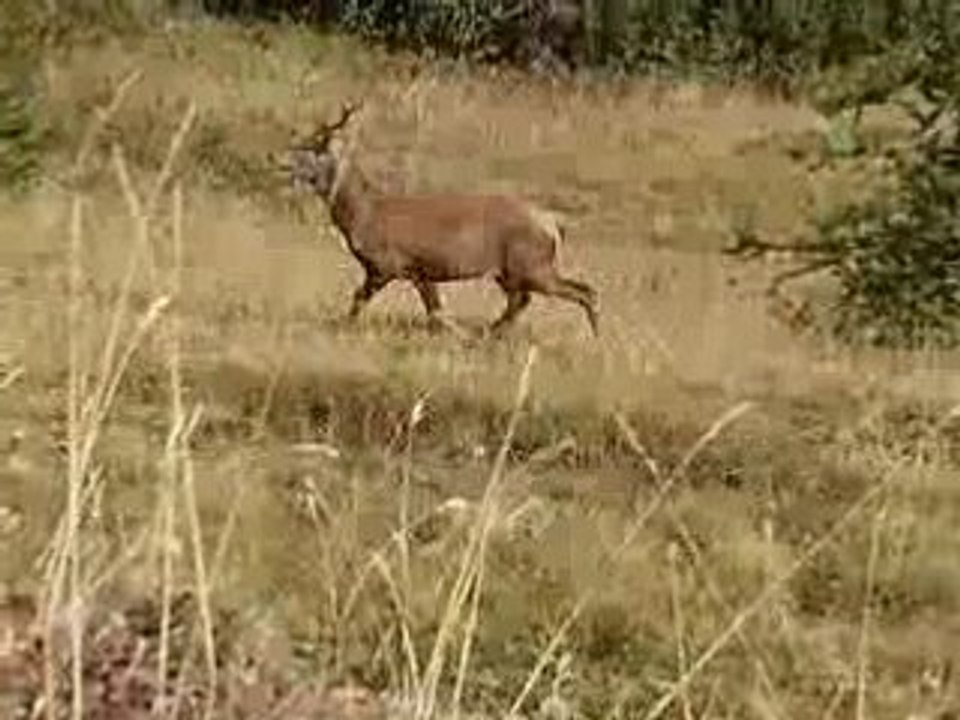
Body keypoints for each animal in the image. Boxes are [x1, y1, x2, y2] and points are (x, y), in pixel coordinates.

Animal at [280, 101, 599, 338]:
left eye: (313, 148)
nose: (280, 160)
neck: (365, 214)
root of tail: (552, 225)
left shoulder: (389, 264)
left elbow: (361, 299)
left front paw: (340, 328)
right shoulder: (419, 271)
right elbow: (435, 310)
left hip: (532, 265)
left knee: (583, 291)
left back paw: (593, 338)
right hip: (512, 271)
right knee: (522, 301)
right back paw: (491, 332)